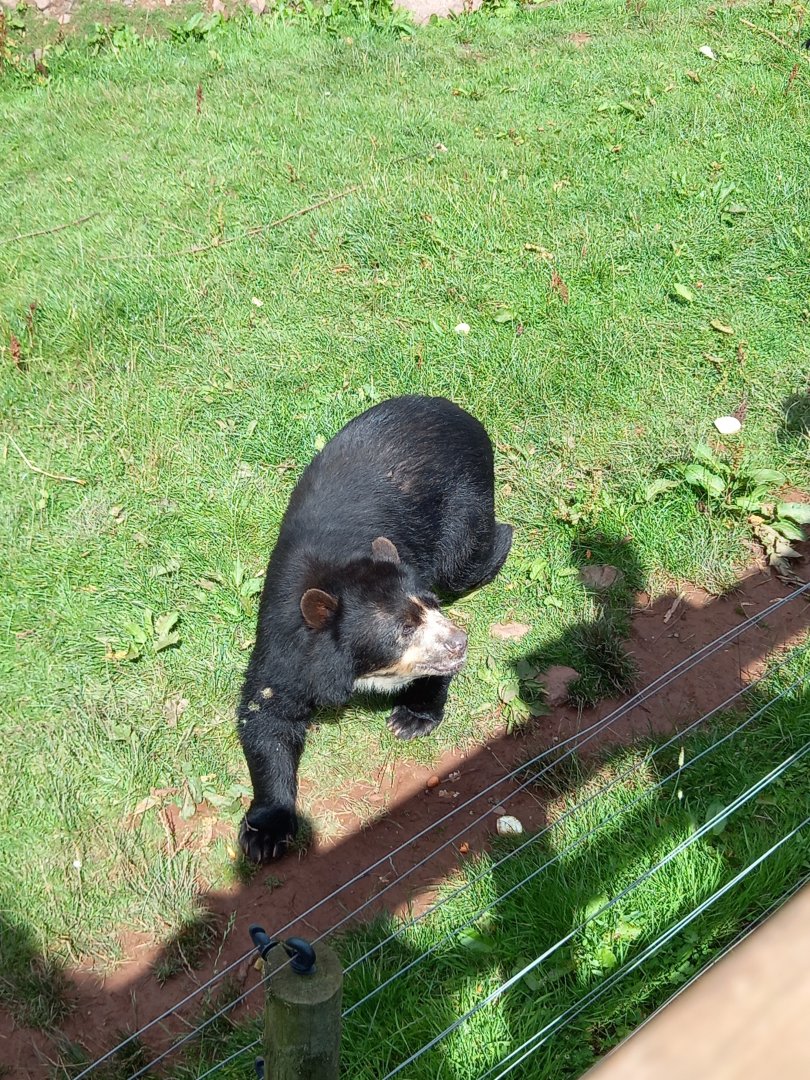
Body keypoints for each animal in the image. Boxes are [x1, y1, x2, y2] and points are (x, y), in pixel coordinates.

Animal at [237, 395, 513, 863]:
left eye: (430, 607)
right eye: (404, 629)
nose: (459, 642)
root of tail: (453, 407)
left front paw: (410, 718)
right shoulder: (286, 640)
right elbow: (267, 714)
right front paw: (264, 834)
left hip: (464, 501)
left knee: (467, 556)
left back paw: (505, 535)